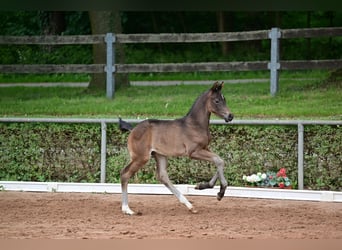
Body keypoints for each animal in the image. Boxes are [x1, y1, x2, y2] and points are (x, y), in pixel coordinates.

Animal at [119, 82, 232, 215]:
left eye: (225, 99)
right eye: (217, 101)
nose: (230, 116)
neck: (195, 124)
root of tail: (133, 129)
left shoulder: (205, 148)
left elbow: (219, 160)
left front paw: (203, 186)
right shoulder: (193, 152)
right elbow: (218, 160)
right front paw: (220, 192)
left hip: (159, 155)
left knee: (163, 176)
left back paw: (190, 206)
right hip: (141, 157)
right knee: (125, 174)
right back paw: (127, 209)